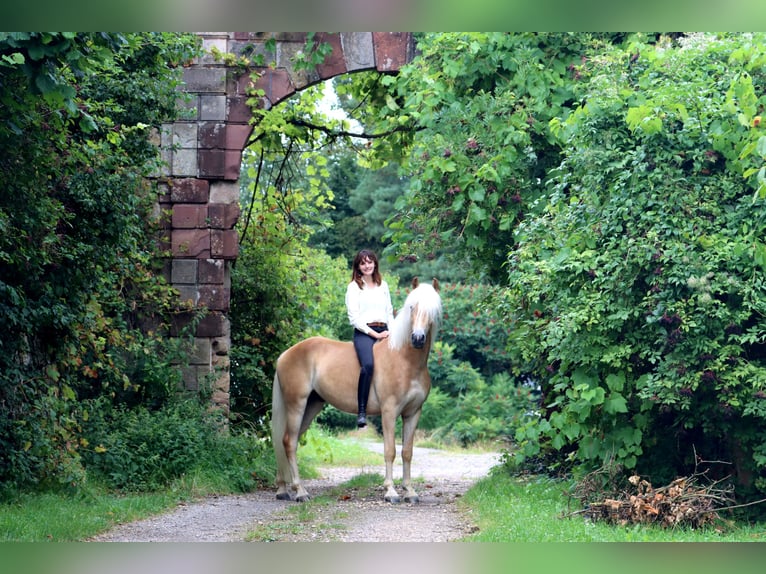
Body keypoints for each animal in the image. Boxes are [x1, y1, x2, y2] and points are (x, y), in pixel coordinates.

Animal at [272, 280, 444, 504]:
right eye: (411, 307)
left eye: (433, 310)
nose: (417, 338)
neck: (405, 361)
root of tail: (285, 354)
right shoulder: (389, 412)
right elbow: (390, 450)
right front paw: (391, 492)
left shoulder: (413, 413)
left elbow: (407, 452)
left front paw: (410, 491)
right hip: (296, 404)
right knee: (289, 442)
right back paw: (300, 491)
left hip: (311, 406)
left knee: (285, 441)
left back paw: (283, 489)